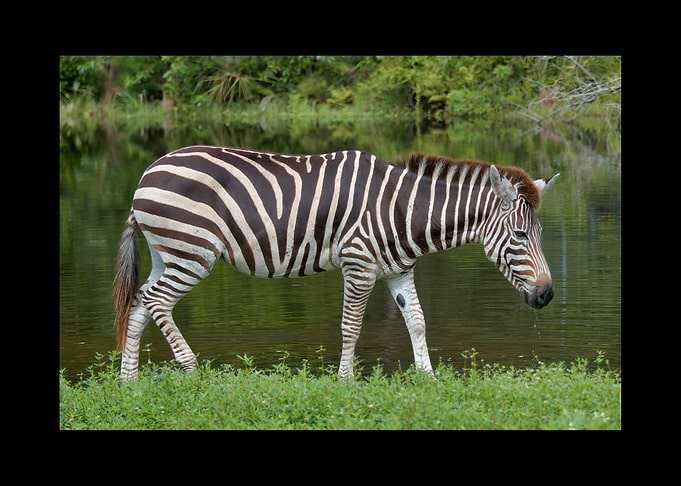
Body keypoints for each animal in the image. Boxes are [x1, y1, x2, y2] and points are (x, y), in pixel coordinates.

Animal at [113, 146, 559, 381]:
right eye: (521, 236)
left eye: (539, 235)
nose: (547, 296)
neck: (402, 208)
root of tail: (147, 173)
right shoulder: (358, 263)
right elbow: (351, 326)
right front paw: (346, 381)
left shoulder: (398, 270)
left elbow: (417, 321)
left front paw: (428, 378)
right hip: (193, 253)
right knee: (157, 301)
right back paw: (190, 368)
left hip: (168, 253)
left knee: (139, 303)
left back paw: (128, 381)